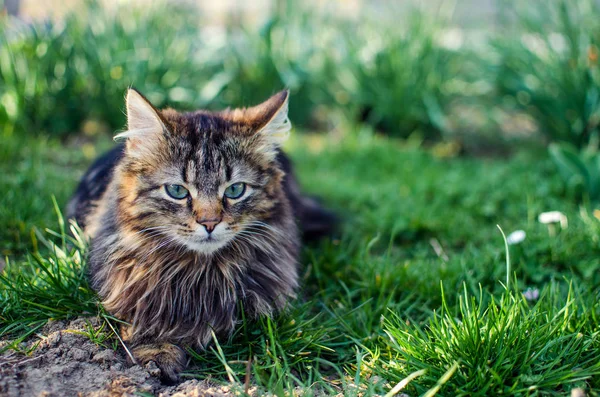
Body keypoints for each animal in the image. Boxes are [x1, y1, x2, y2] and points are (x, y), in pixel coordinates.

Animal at [69, 89, 338, 380]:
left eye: (235, 190)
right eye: (177, 190)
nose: (209, 223)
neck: (199, 274)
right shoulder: (127, 290)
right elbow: (139, 323)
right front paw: (157, 353)